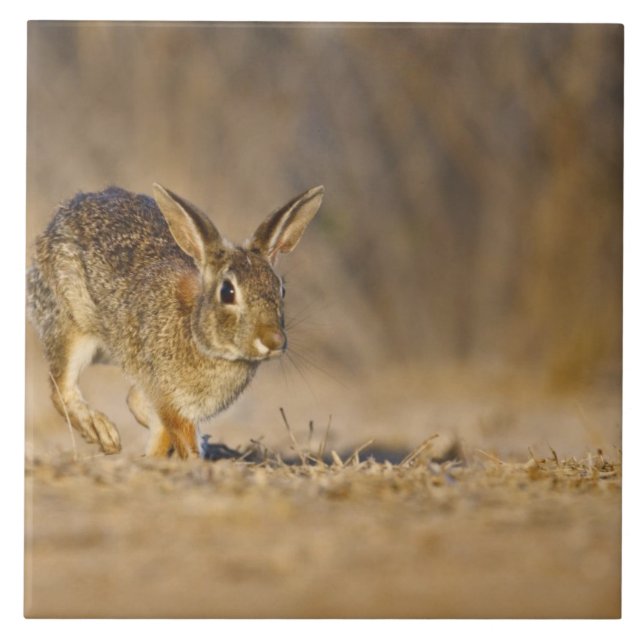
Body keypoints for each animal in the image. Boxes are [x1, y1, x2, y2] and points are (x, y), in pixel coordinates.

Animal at [27, 183, 324, 458]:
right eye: (228, 292)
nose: (274, 340)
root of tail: (62, 215)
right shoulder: (169, 398)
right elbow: (178, 436)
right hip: (72, 324)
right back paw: (103, 433)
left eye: (281, 290)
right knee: (61, 388)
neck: (198, 334)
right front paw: (188, 460)